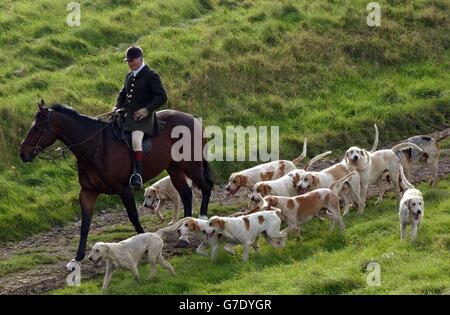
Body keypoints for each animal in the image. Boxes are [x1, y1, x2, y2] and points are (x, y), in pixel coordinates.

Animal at [19, 100, 213, 262]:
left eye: (36, 128)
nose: (23, 154)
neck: (96, 148)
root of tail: (192, 118)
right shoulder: (88, 193)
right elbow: (85, 224)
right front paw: (78, 256)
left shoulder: (124, 189)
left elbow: (133, 217)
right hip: (174, 168)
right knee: (186, 195)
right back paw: (183, 236)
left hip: (191, 165)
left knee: (206, 187)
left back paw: (201, 220)